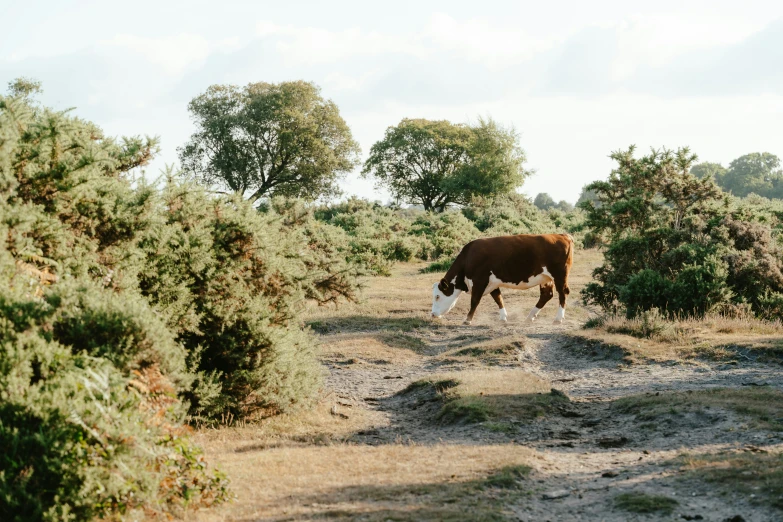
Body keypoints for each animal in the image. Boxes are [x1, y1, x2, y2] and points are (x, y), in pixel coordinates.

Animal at [432, 234, 572, 322]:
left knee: (562, 293)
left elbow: (474, 301)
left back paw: (558, 318)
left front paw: (467, 320)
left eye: (437, 296)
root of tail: (561, 235)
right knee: (546, 295)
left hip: (559, 276)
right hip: (546, 278)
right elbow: (498, 298)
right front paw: (503, 317)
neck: (468, 258)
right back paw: (530, 316)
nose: (432, 314)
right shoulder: (492, 282)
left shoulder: (479, 281)